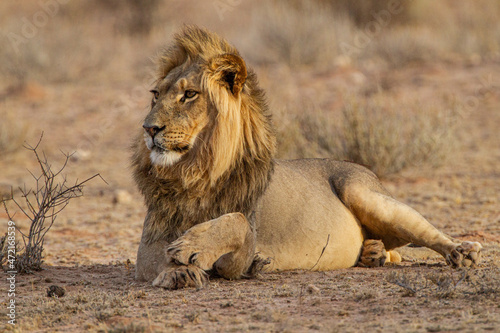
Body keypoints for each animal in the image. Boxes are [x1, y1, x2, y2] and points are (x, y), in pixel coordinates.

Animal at [132, 26, 480, 288]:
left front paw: (191, 249)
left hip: (365, 193)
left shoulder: (242, 247)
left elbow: (237, 222)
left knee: (425, 231)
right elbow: (159, 256)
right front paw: (178, 270)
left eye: (189, 94)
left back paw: (462, 251)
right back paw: (373, 253)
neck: (195, 171)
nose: (149, 128)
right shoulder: (150, 240)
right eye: (155, 94)